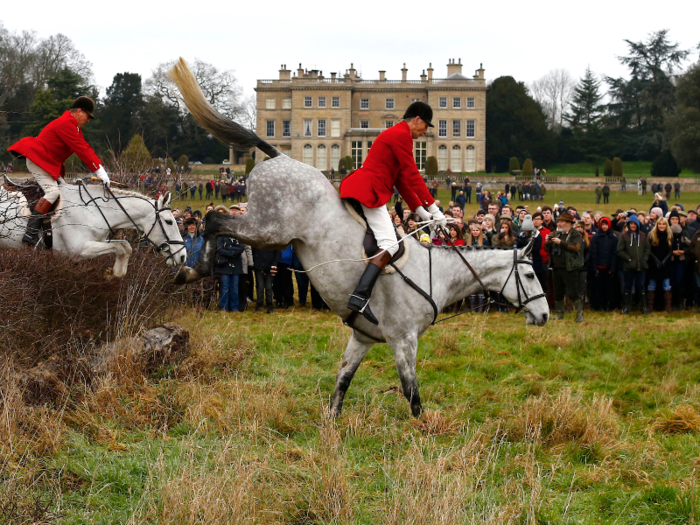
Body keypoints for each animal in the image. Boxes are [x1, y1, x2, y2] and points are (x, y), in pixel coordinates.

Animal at [0, 178, 186, 276]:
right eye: (169, 222)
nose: (183, 256)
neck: (92, 210)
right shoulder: (79, 250)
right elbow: (120, 247)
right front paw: (113, 274)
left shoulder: (99, 241)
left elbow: (125, 246)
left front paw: (115, 273)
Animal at [168, 58, 548, 418]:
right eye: (530, 274)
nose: (545, 315)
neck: (435, 273)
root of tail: (281, 155)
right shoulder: (403, 340)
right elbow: (412, 395)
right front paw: (424, 431)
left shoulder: (362, 337)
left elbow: (342, 381)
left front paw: (331, 424)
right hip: (269, 228)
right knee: (215, 219)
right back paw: (190, 270)